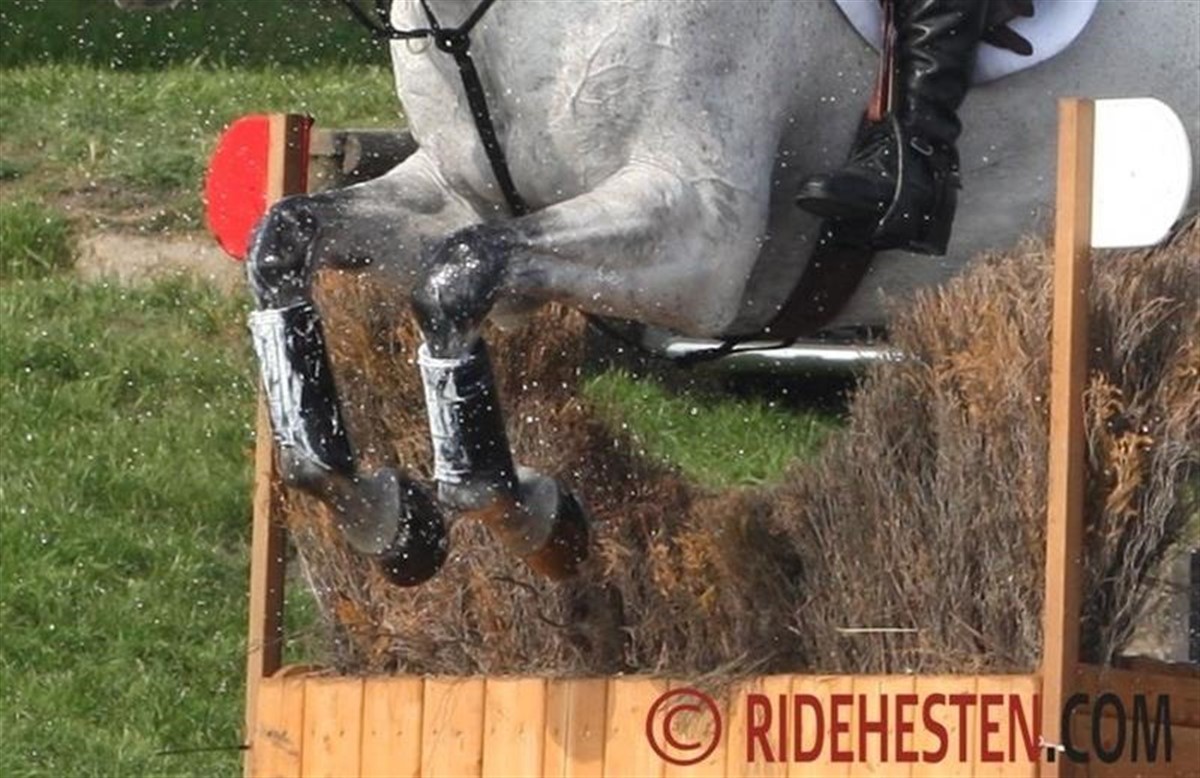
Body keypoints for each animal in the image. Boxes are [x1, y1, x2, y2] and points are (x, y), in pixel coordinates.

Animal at [210, 0, 1199, 587]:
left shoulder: (694, 237)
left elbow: (458, 279)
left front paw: (536, 519)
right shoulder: (459, 197)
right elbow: (290, 242)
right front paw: (380, 509)